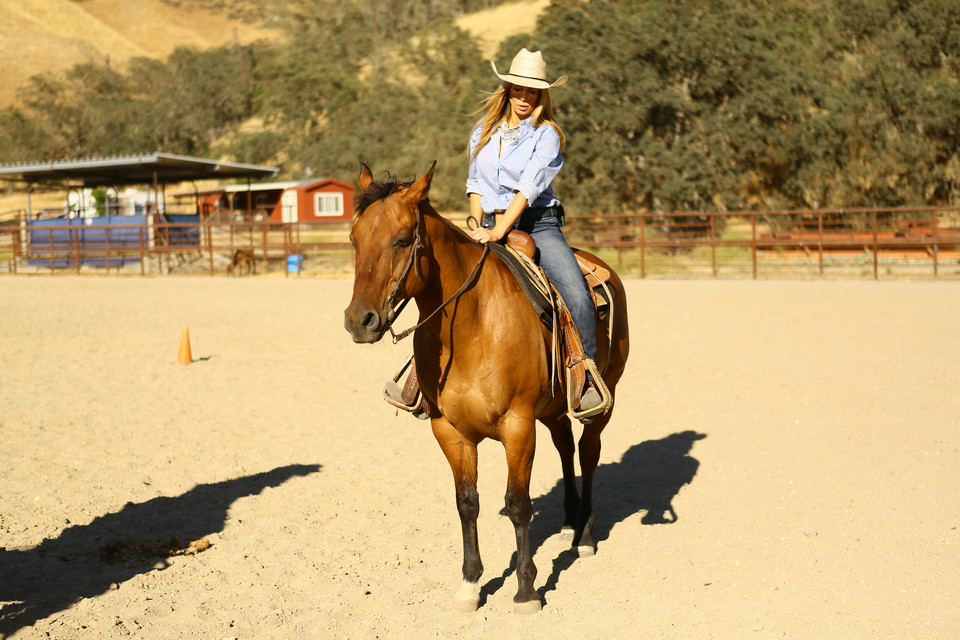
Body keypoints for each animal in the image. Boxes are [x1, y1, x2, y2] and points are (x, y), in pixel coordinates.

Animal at [344, 164, 632, 616]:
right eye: (354, 239)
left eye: (403, 239)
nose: (360, 321)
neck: (473, 326)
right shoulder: (450, 430)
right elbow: (467, 503)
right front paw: (470, 584)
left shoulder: (518, 425)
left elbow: (518, 504)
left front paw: (527, 590)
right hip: (551, 410)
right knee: (566, 447)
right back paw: (569, 521)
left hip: (605, 397)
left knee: (588, 452)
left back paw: (584, 535)